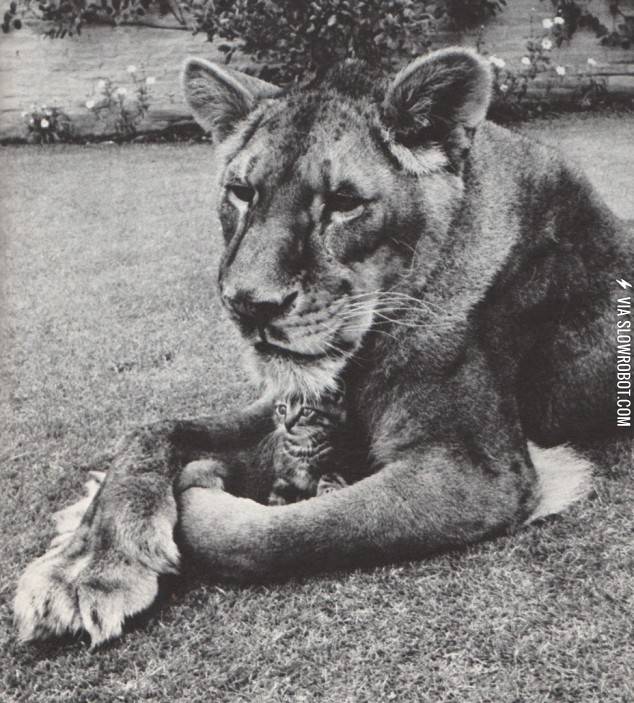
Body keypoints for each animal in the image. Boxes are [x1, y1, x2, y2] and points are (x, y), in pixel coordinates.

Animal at [14, 47, 632, 647]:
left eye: (343, 202)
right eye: (241, 192)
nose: (248, 305)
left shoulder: (479, 472)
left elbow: (278, 534)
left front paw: (197, 489)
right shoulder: (296, 398)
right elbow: (155, 429)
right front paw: (88, 564)